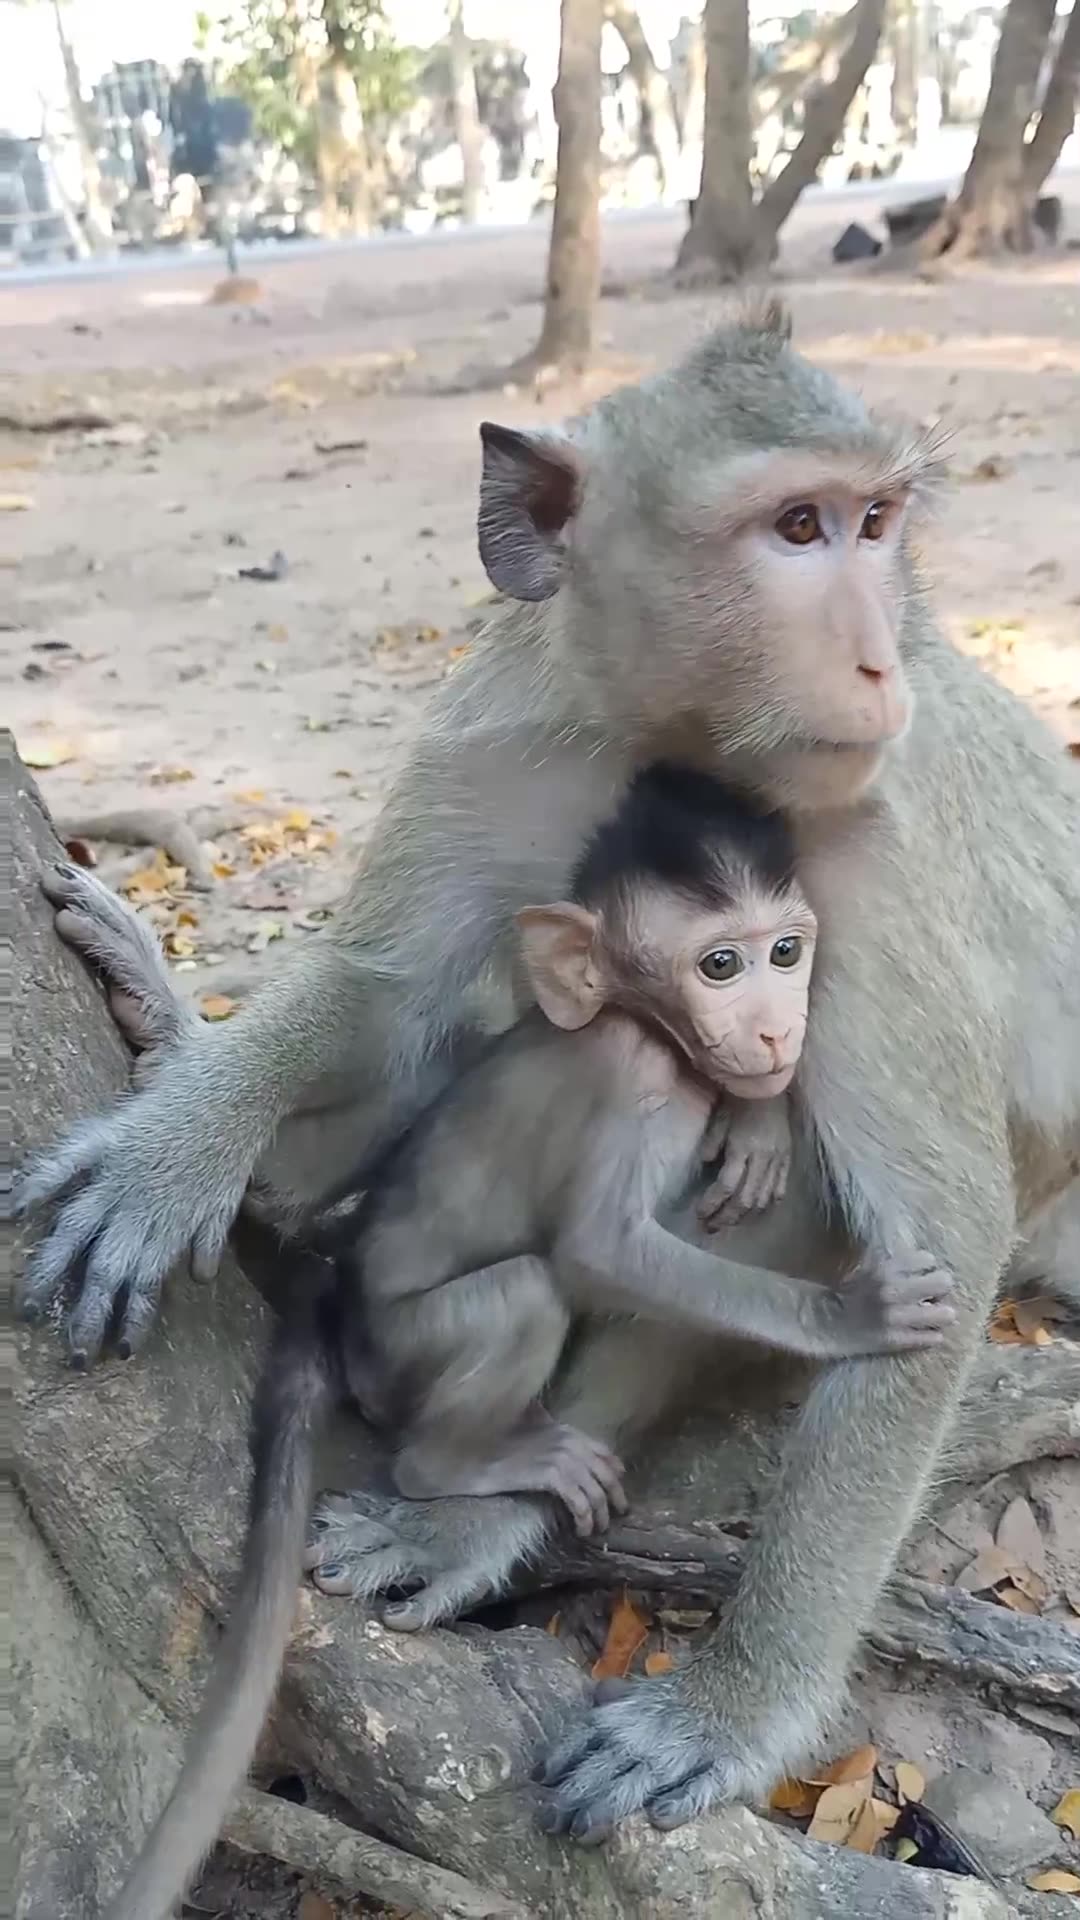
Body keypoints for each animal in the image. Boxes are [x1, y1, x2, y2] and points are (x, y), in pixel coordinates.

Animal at [22, 297, 1080, 1853]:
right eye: (800, 527)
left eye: (877, 521)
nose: (881, 661)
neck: (676, 747)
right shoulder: (513, 737)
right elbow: (387, 995)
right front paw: (192, 1131)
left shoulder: (863, 850)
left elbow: (934, 1241)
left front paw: (730, 1711)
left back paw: (471, 1507)